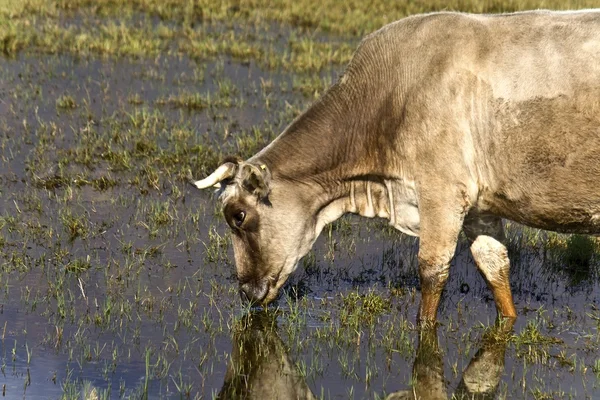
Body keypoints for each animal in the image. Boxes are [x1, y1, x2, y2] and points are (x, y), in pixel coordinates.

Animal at [193, 10, 600, 326]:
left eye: (239, 215)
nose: (246, 290)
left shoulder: (441, 191)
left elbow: (431, 271)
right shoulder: (478, 204)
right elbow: (494, 266)